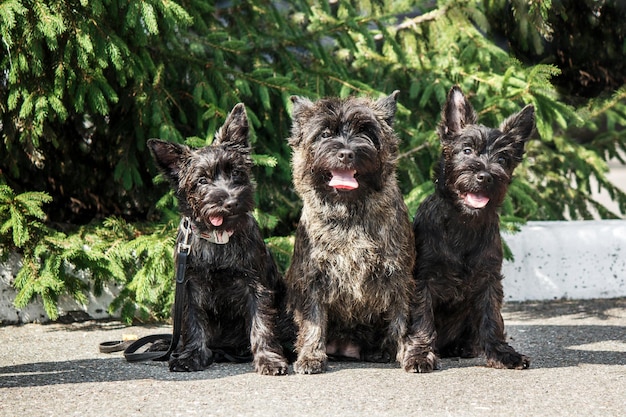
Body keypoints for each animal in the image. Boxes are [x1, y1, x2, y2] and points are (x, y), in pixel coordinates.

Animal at [147, 103, 288, 374]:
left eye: (236, 172)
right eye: (202, 180)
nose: (231, 201)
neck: (218, 239)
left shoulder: (256, 287)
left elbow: (262, 323)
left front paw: (268, 359)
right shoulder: (189, 288)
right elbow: (193, 325)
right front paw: (191, 356)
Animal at [286, 92, 432, 374]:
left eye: (366, 132)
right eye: (324, 134)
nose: (346, 153)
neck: (349, 216)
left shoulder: (401, 278)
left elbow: (404, 319)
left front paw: (414, 355)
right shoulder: (313, 278)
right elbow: (313, 318)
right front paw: (311, 356)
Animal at [410, 85, 532, 370]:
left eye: (503, 158)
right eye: (467, 150)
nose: (485, 176)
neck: (463, 223)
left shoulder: (488, 279)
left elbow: (491, 319)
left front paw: (502, 353)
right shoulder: (423, 279)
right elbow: (422, 319)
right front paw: (420, 354)